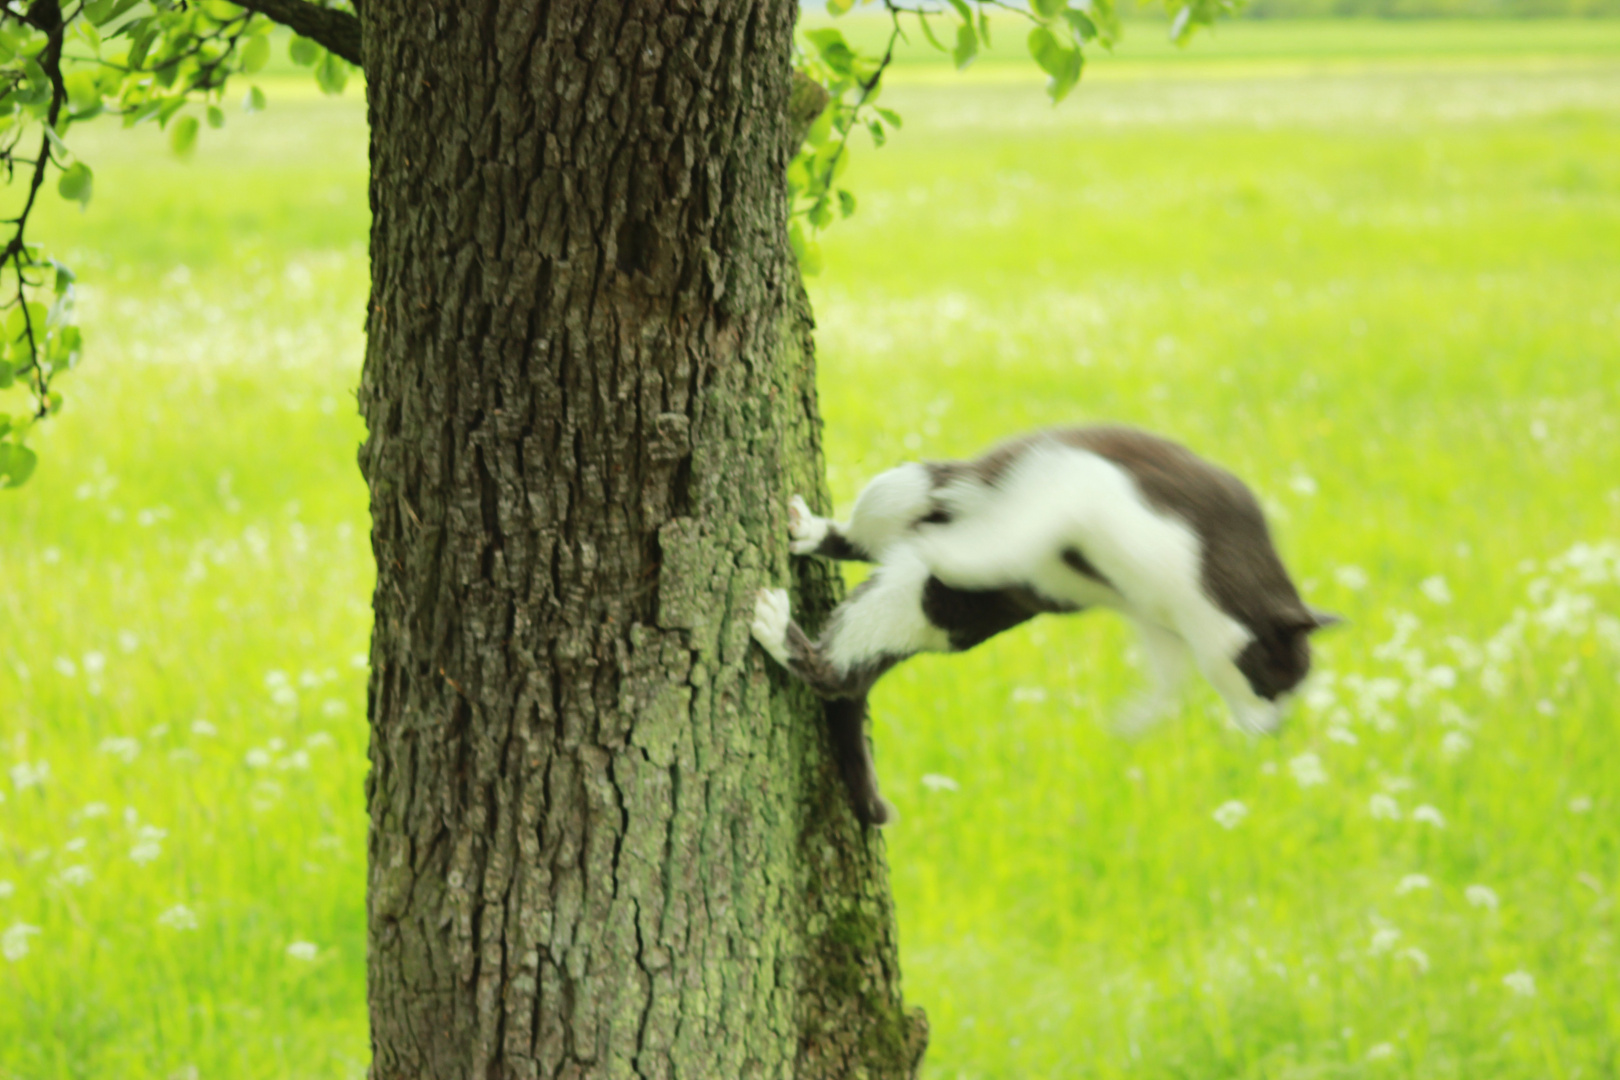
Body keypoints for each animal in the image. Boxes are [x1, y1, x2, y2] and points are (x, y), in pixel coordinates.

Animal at [751, 424, 1334, 829]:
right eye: (1271, 688)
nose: (1276, 731)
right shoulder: (1079, 490)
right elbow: (1017, 532)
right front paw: (961, 551)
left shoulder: (1155, 621)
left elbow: (1169, 677)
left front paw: (1135, 717)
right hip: (911, 485)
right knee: (870, 541)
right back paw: (807, 556)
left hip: (922, 603)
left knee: (844, 669)